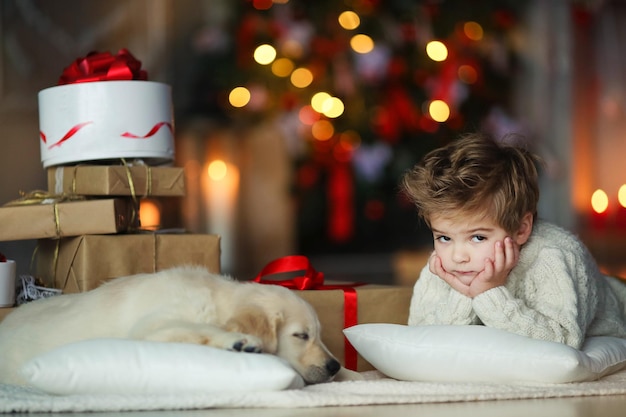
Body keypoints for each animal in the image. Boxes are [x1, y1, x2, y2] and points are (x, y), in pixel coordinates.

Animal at [0, 264, 342, 386]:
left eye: (319, 335)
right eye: (301, 335)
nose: (335, 366)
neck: (214, 299)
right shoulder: (151, 329)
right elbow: (196, 329)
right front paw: (237, 340)